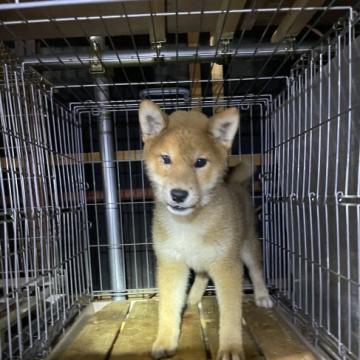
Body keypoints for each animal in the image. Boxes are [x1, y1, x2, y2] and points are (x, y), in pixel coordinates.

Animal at [139, 100, 272, 360]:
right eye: (166, 158)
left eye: (200, 162)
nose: (178, 194)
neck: (188, 224)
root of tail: (235, 184)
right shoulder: (171, 263)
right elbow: (168, 307)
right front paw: (165, 341)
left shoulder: (227, 265)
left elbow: (230, 314)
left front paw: (230, 348)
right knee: (201, 274)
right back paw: (192, 297)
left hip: (247, 246)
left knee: (256, 270)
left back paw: (263, 296)